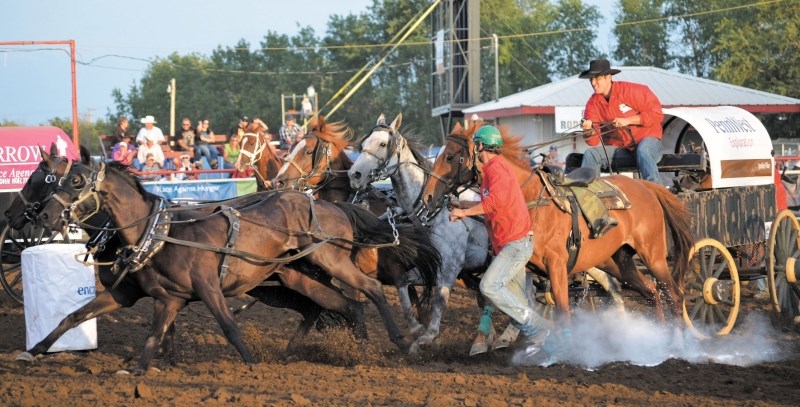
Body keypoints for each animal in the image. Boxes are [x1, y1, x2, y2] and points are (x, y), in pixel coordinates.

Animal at [34, 161, 428, 372]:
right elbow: (82, 317)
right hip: (297, 277)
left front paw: (252, 365)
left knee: (370, 291)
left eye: (76, 181)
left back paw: (397, 338)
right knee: (345, 305)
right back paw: (357, 352)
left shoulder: (206, 288)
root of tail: (333, 206)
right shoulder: (155, 296)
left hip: (327, 259)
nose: (45, 215)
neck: (160, 233)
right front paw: (37, 350)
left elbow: (229, 328)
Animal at [418, 122, 692, 332]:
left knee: (674, 294)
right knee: (652, 292)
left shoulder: (557, 266)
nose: (428, 197)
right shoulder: (523, 269)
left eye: (450, 156)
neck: (530, 200)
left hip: (653, 256)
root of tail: (646, 187)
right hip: (618, 261)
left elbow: (561, 309)